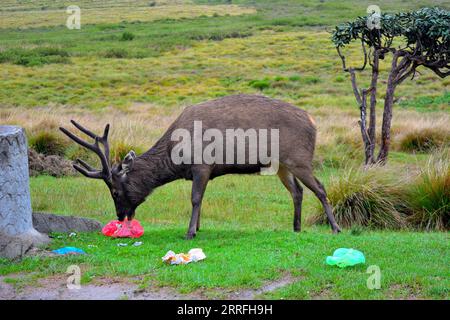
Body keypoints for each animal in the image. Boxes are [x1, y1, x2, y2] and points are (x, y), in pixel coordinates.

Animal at [60, 94, 342, 239]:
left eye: (116, 191)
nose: (120, 217)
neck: (176, 157)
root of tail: (313, 120)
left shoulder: (202, 165)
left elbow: (195, 198)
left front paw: (190, 232)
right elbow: (202, 199)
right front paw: (197, 227)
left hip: (300, 158)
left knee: (320, 188)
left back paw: (336, 227)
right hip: (282, 164)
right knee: (298, 191)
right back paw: (296, 227)